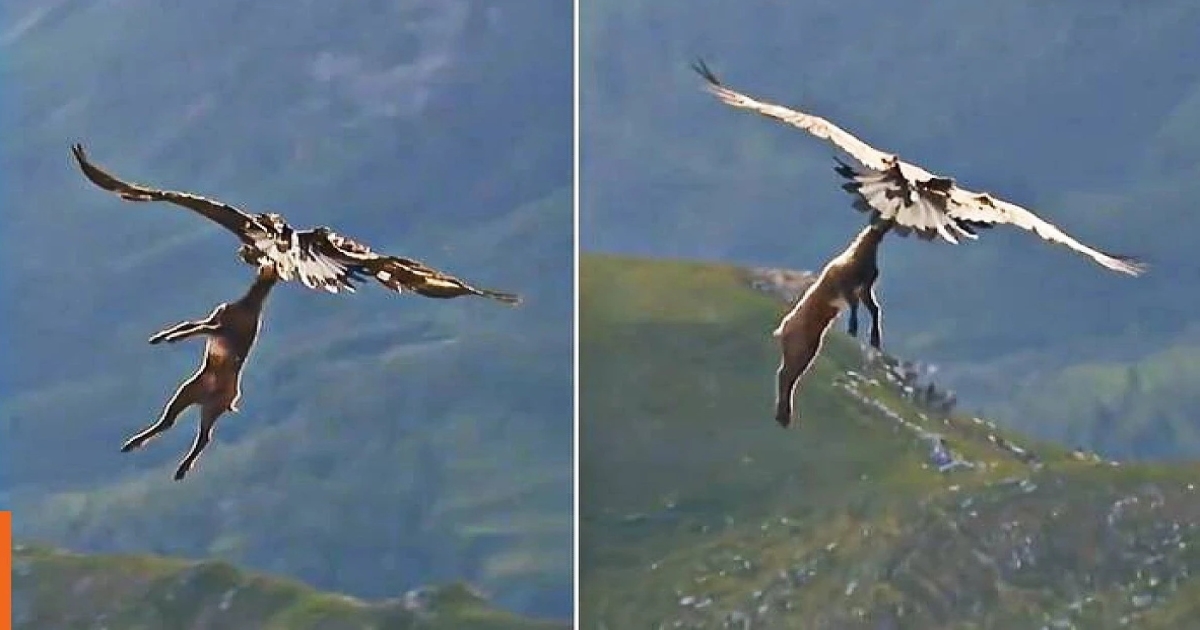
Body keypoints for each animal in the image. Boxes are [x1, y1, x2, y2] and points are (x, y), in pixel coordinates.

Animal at [122, 253, 277, 480]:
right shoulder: (216, 318)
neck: (249, 304)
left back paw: (180, 470)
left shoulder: (223, 330)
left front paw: (172, 339)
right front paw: (158, 338)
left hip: (214, 406)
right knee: (170, 421)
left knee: (204, 437)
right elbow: (190, 324)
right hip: (189, 392)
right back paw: (134, 445)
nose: (262, 265)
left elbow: (199, 328)